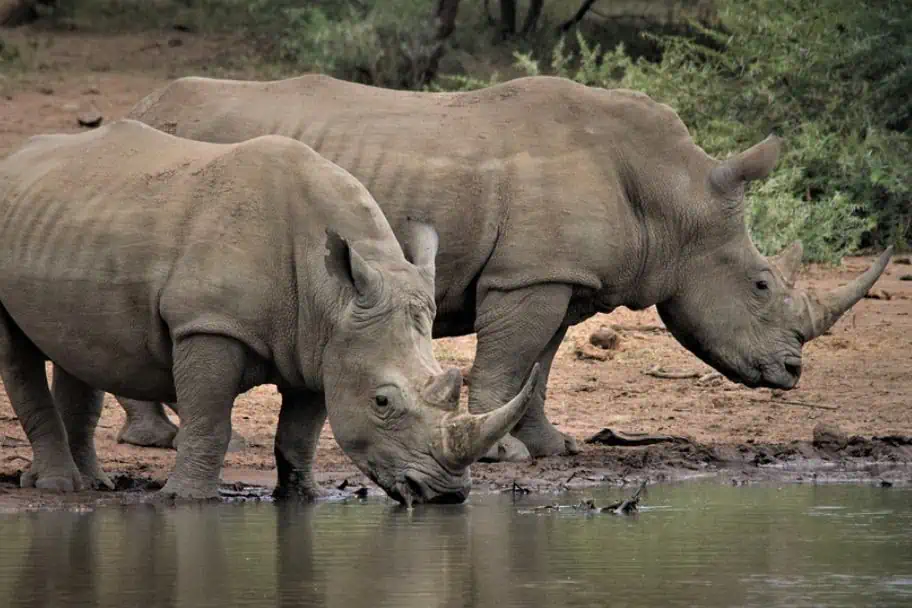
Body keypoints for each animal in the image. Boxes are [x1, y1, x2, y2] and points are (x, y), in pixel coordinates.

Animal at [0, 119, 538, 503]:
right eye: (382, 402)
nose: (447, 495)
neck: (334, 295)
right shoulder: (210, 325)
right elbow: (210, 421)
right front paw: (186, 500)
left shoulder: (325, 342)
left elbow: (301, 432)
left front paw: (301, 497)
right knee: (19, 353)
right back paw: (60, 487)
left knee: (77, 349)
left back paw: (90, 484)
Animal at [121, 74, 893, 462]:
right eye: (760, 286)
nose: (792, 372)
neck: (673, 194)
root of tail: (143, 103)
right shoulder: (530, 274)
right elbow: (511, 357)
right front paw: (502, 457)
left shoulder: (559, 274)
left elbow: (540, 364)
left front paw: (551, 446)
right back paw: (159, 439)